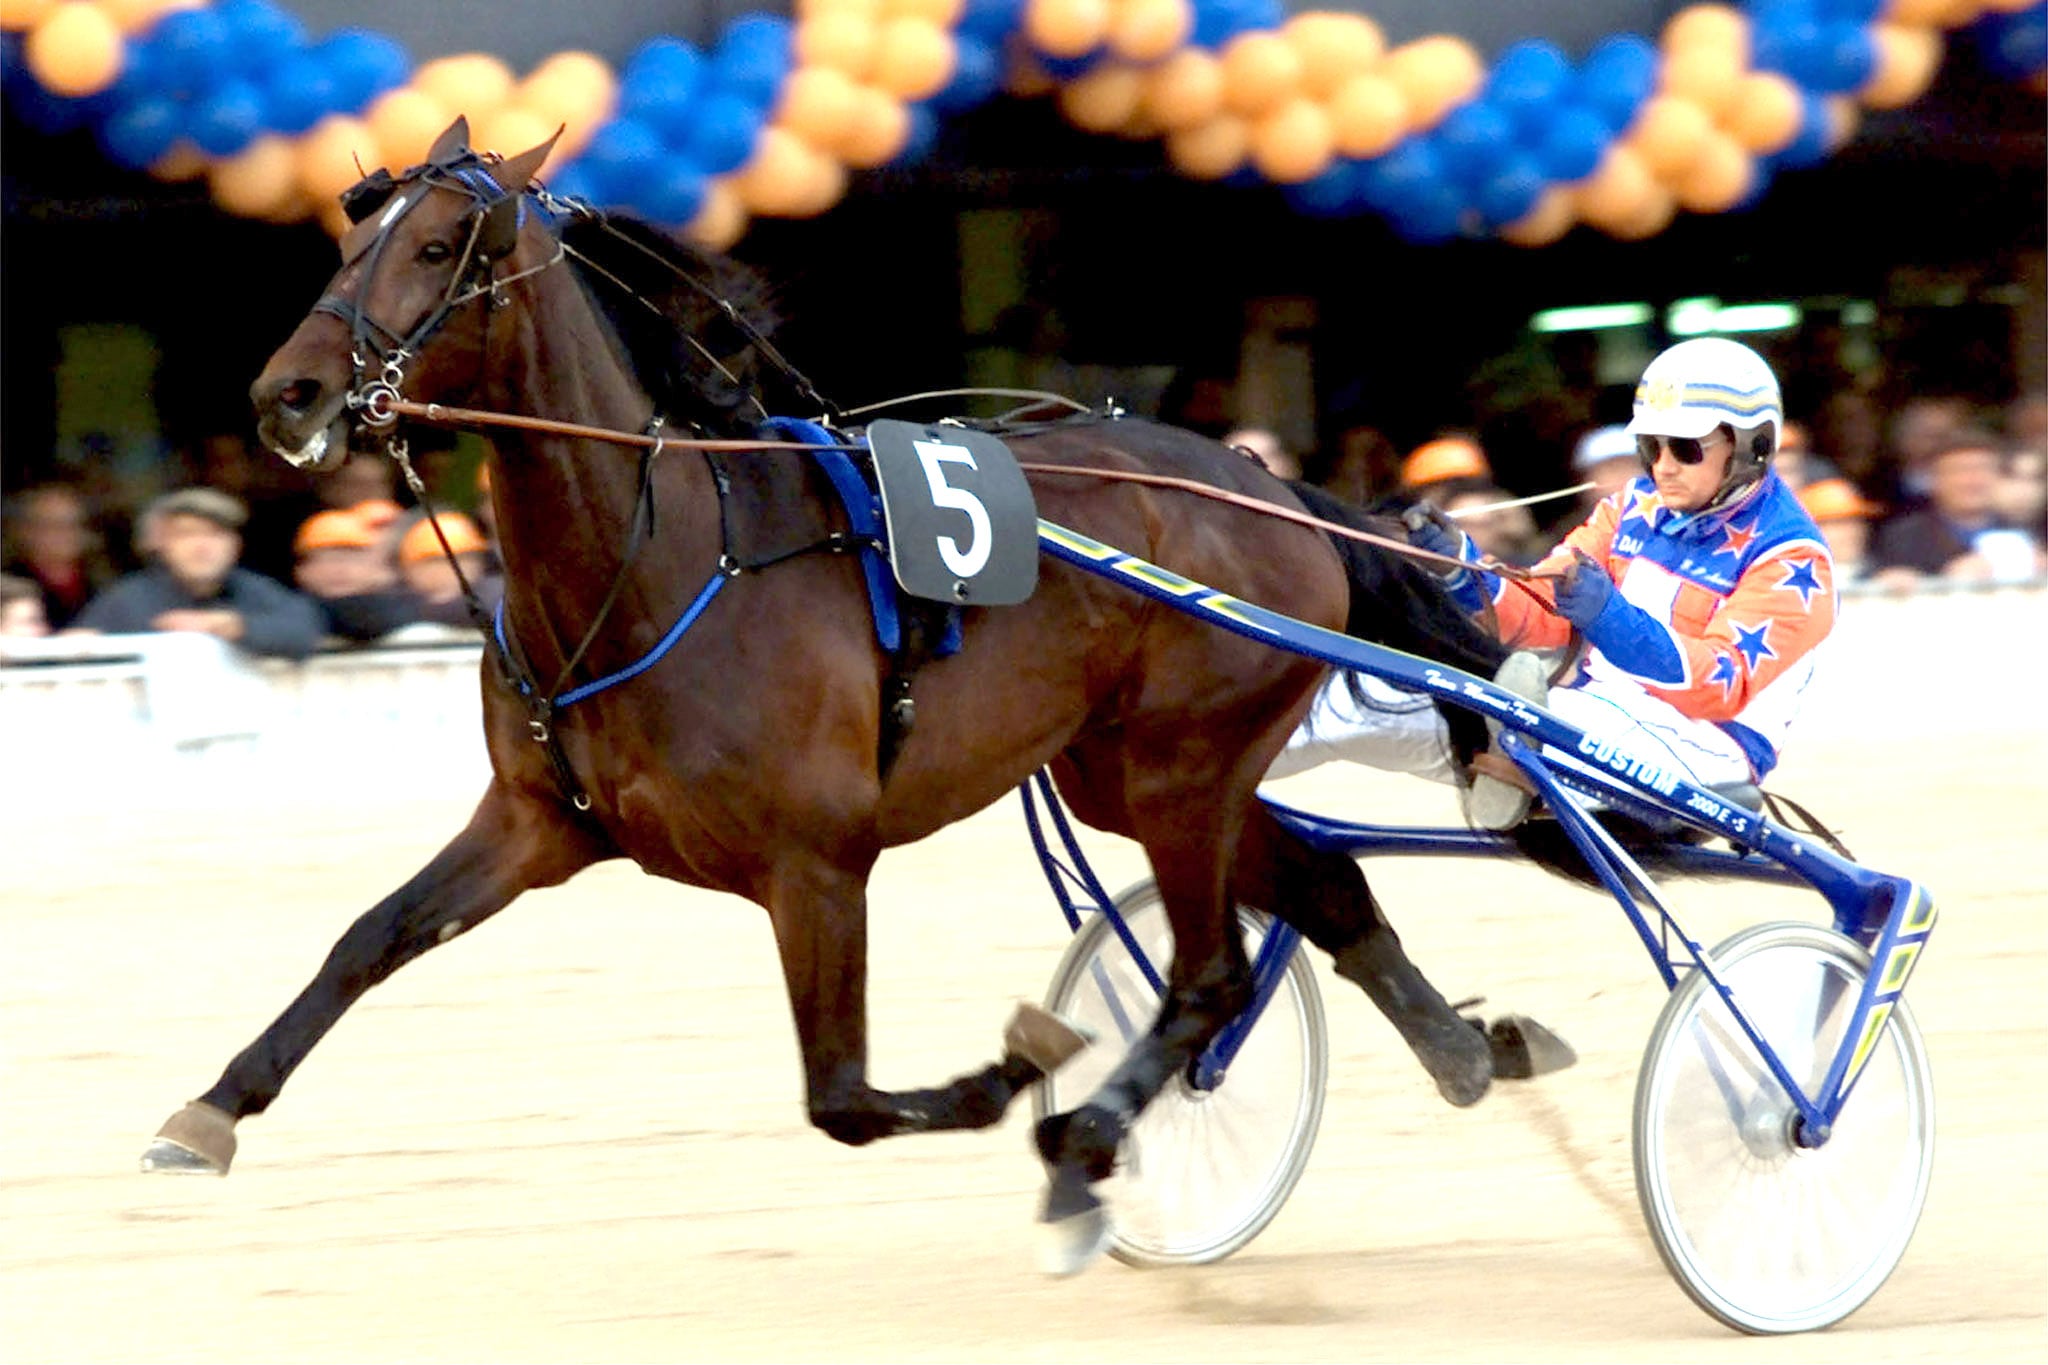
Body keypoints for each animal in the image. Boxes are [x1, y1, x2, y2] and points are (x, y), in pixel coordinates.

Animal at [144, 120, 1526, 1270]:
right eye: (345, 238)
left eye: (437, 246)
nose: (286, 396)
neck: (661, 560)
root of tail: (1267, 484)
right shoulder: (535, 823)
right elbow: (369, 939)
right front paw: (206, 1112)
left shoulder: (815, 861)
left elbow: (843, 1098)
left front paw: (1014, 1070)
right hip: (1127, 771)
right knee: (1317, 887)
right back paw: (1464, 1050)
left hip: (1185, 762)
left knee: (1205, 981)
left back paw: (1082, 1141)